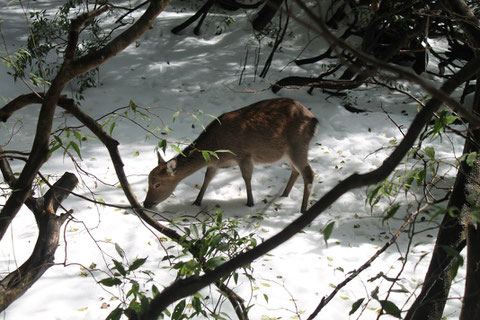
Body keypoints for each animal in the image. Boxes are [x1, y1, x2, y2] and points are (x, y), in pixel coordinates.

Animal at [146, 97, 318, 212]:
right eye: (148, 181)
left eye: (157, 184)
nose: (146, 204)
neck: (216, 147)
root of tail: (313, 119)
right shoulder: (214, 164)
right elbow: (207, 179)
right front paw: (196, 202)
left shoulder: (245, 156)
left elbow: (247, 178)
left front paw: (250, 203)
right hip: (289, 152)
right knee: (296, 170)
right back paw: (284, 195)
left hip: (298, 144)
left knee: (309, 173)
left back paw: (302, 209)